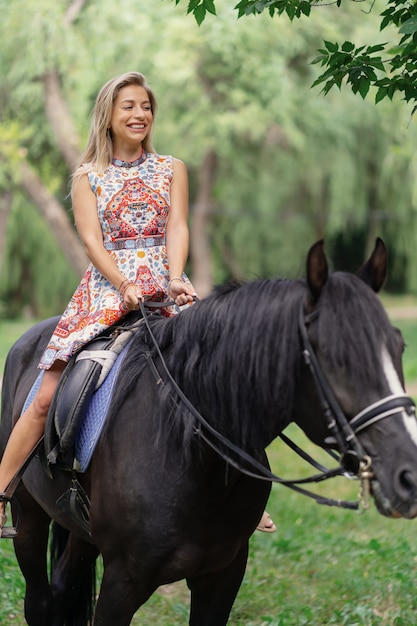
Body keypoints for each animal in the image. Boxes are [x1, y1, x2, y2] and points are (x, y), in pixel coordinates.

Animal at [2, 239, 416, 624]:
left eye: (399, 346)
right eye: (334, 357)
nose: (408, 477)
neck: (191, 454)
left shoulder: (223, 575)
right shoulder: (123, 582)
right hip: (29, 520)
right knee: (40, 602)